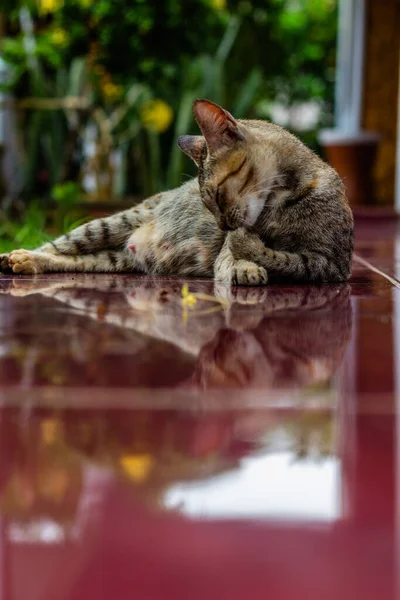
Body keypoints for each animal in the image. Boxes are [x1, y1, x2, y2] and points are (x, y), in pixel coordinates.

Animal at [0, 99, 356, 286]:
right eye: (207, 202)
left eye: (216, 196)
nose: (223, 226)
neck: (279, 206)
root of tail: (134, 244)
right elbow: (234, 258)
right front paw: (244, 262)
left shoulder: (329, 264)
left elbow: (284, 258)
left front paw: (251, 252)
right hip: (107, 224)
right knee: (56, 245)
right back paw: (19, 257)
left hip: (114, 259)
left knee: (74, 261)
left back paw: (27, 263)